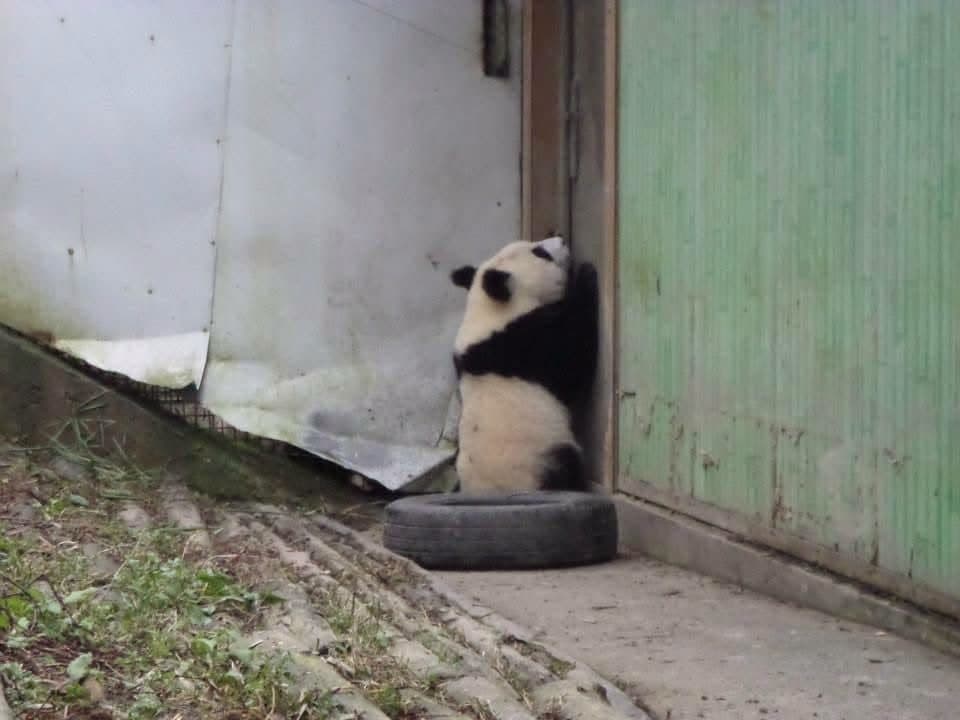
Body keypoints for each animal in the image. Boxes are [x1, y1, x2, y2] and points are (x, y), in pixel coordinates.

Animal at [449, 235, 599, 493]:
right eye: (540, 253)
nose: (561, 239)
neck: (490, 311)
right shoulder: (524, 344)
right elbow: (571, 361)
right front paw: (586, 276)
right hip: (540, 459)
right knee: (565, 468)